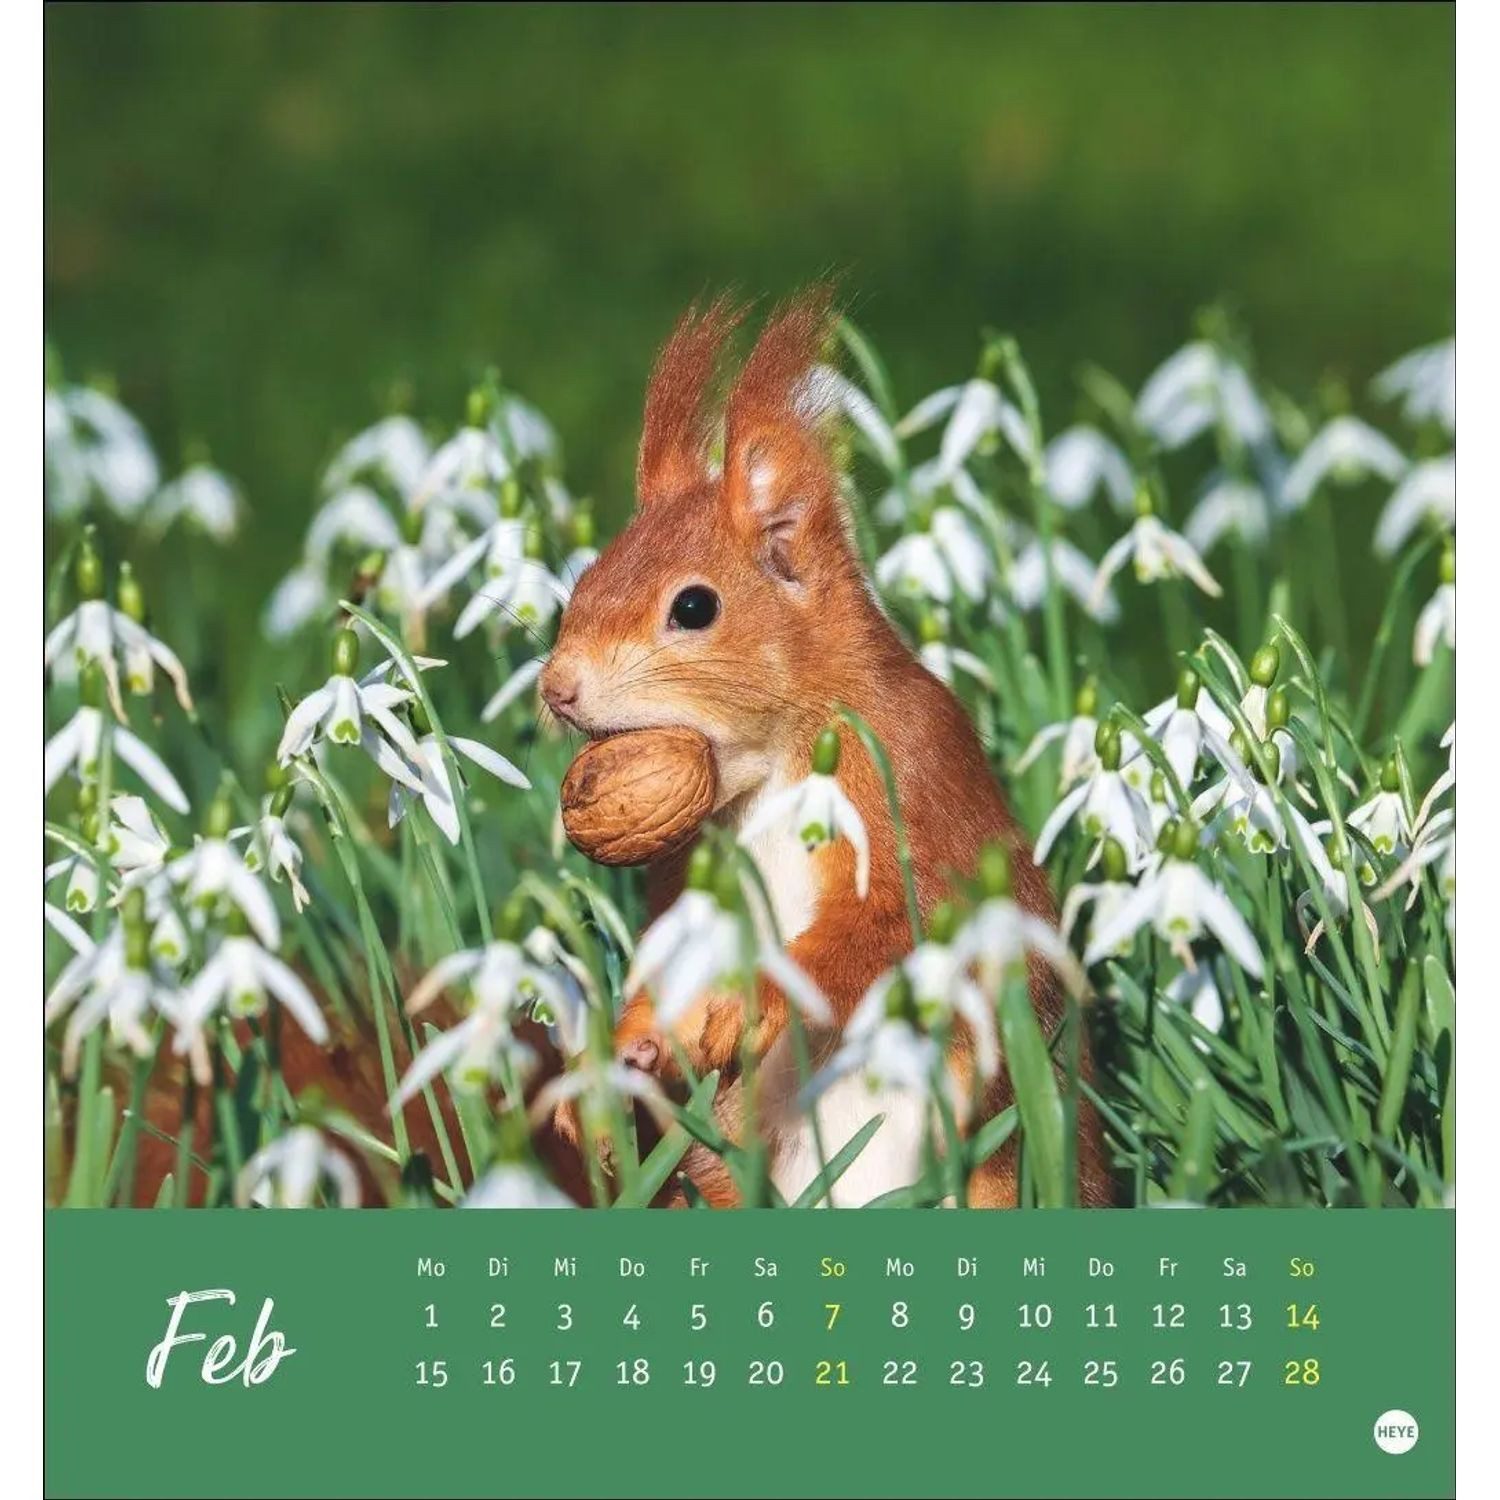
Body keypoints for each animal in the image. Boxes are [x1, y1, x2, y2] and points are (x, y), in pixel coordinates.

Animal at [539, 289, 1113, 1208]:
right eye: (584, 581)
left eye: (693, 608)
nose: (557, 687)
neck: (771, 771)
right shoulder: (693, 870)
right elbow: (669, 955)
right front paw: (617, 1059)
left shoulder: (911, 781)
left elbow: (889, 928)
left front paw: (751, 998)